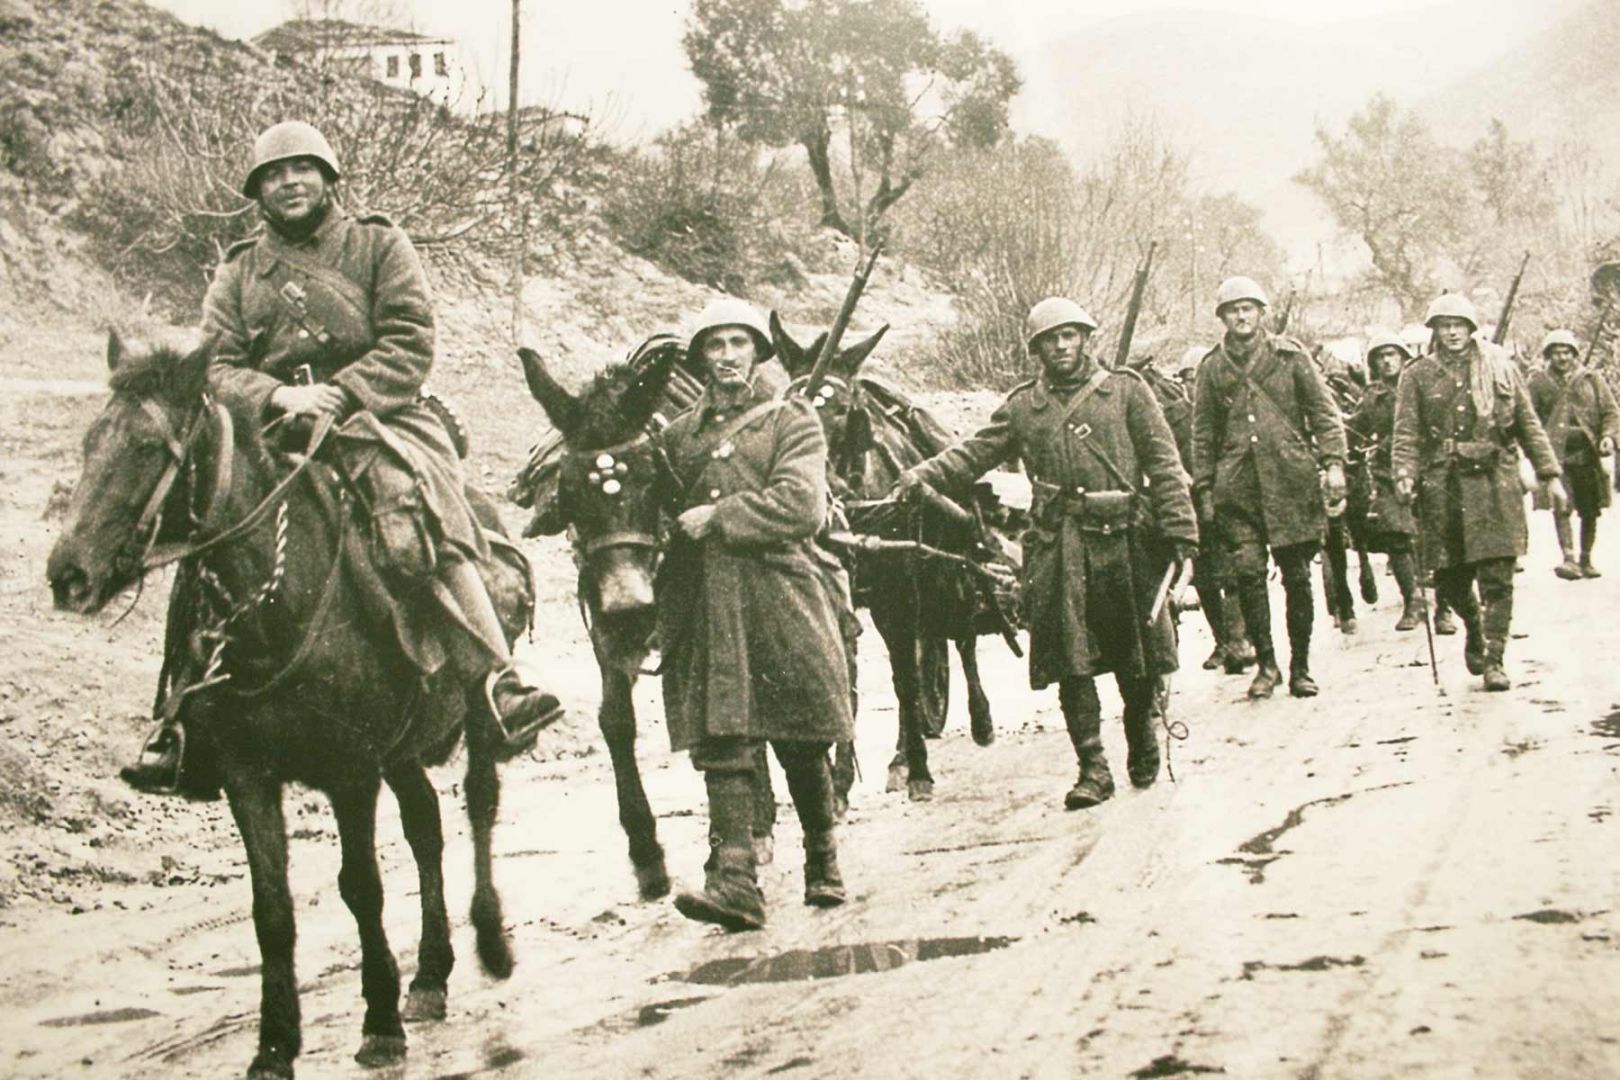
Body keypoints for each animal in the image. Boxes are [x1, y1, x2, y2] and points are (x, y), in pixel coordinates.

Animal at [46, 334, 531, 1079]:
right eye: (91, 442)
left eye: (149, 447)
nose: (68, 575)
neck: (275, 605)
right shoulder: (248, 776)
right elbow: (271, 909)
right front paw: (274, 1044)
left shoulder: (351, 771)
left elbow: (361, 886)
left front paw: (379, 1024)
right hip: (399, 750)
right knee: (425, 826)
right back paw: (429, 976)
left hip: (472, 718)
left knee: (478, 806)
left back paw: (489, 944)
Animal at [770, 316, 1020, 801]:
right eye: (786, 408)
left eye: (843, 410)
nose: (815, 490)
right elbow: (847, 681)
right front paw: (840, 780)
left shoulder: (897, 598)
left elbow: (905, 679)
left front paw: (918, 769)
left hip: (946, 574)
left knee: (959, 639)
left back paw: (975, 722)